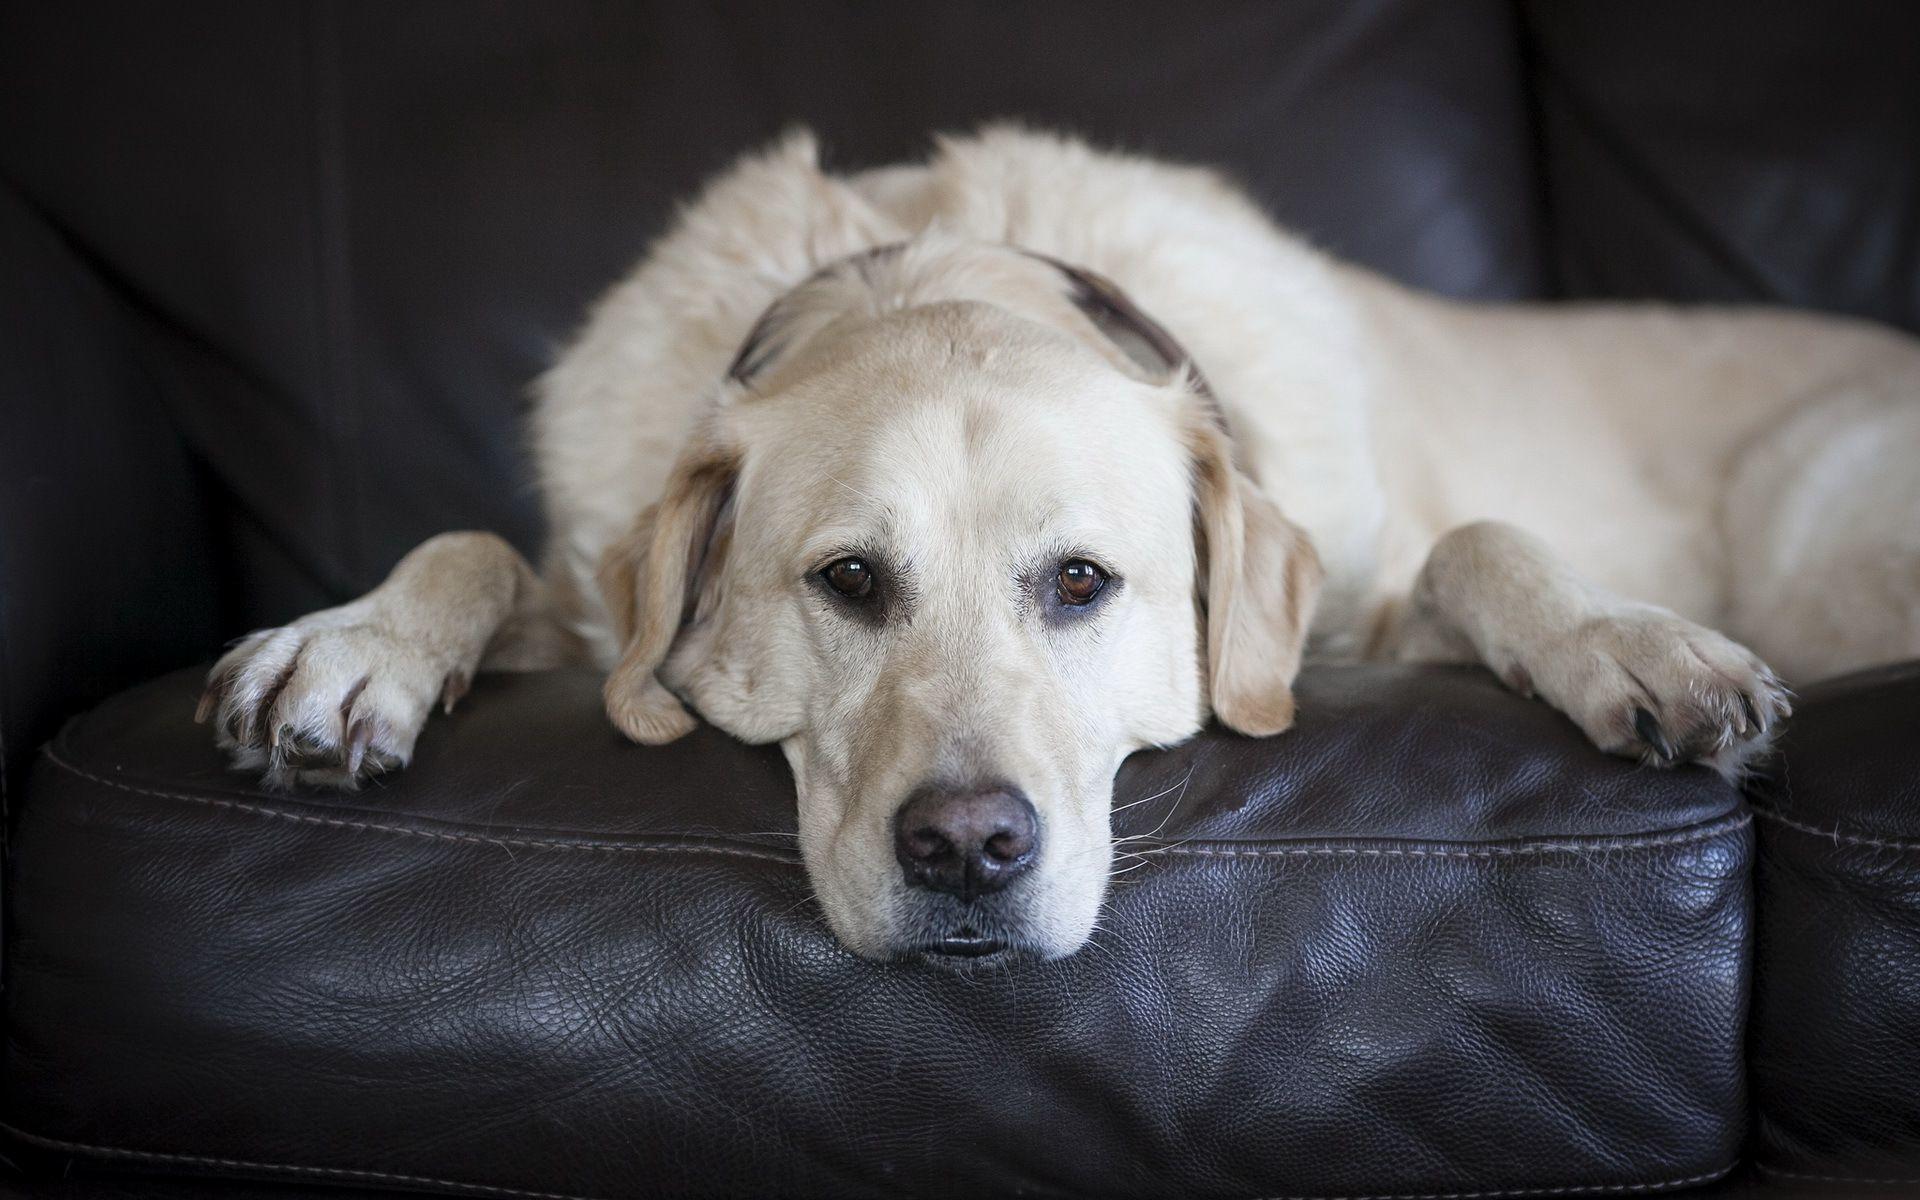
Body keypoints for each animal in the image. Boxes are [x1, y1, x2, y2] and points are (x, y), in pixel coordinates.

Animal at [194, 126, 1920, 960]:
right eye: (849, 580)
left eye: (1083, 584)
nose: (968, 852)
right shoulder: (580, 593)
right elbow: (474, 548)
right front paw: (350, 648)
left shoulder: (1355, 600)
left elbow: (1475, 542)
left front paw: (1635, 639)